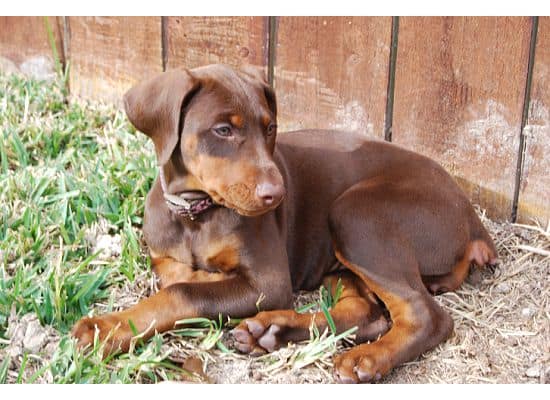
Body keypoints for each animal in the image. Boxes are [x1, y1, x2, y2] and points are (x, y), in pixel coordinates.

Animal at [71, 64, 498, 382]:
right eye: (223, 130)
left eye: (270, 128)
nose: (277, 195)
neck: (197, 212)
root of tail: (475, 224)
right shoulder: (164, 255)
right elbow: (176, 276)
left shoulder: (271, 280)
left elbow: (182, 292)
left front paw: (105, 328)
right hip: (341, 259)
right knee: (366, 312)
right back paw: (272, 331)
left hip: (356, 215)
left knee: (426, 316)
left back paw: (366, 360)